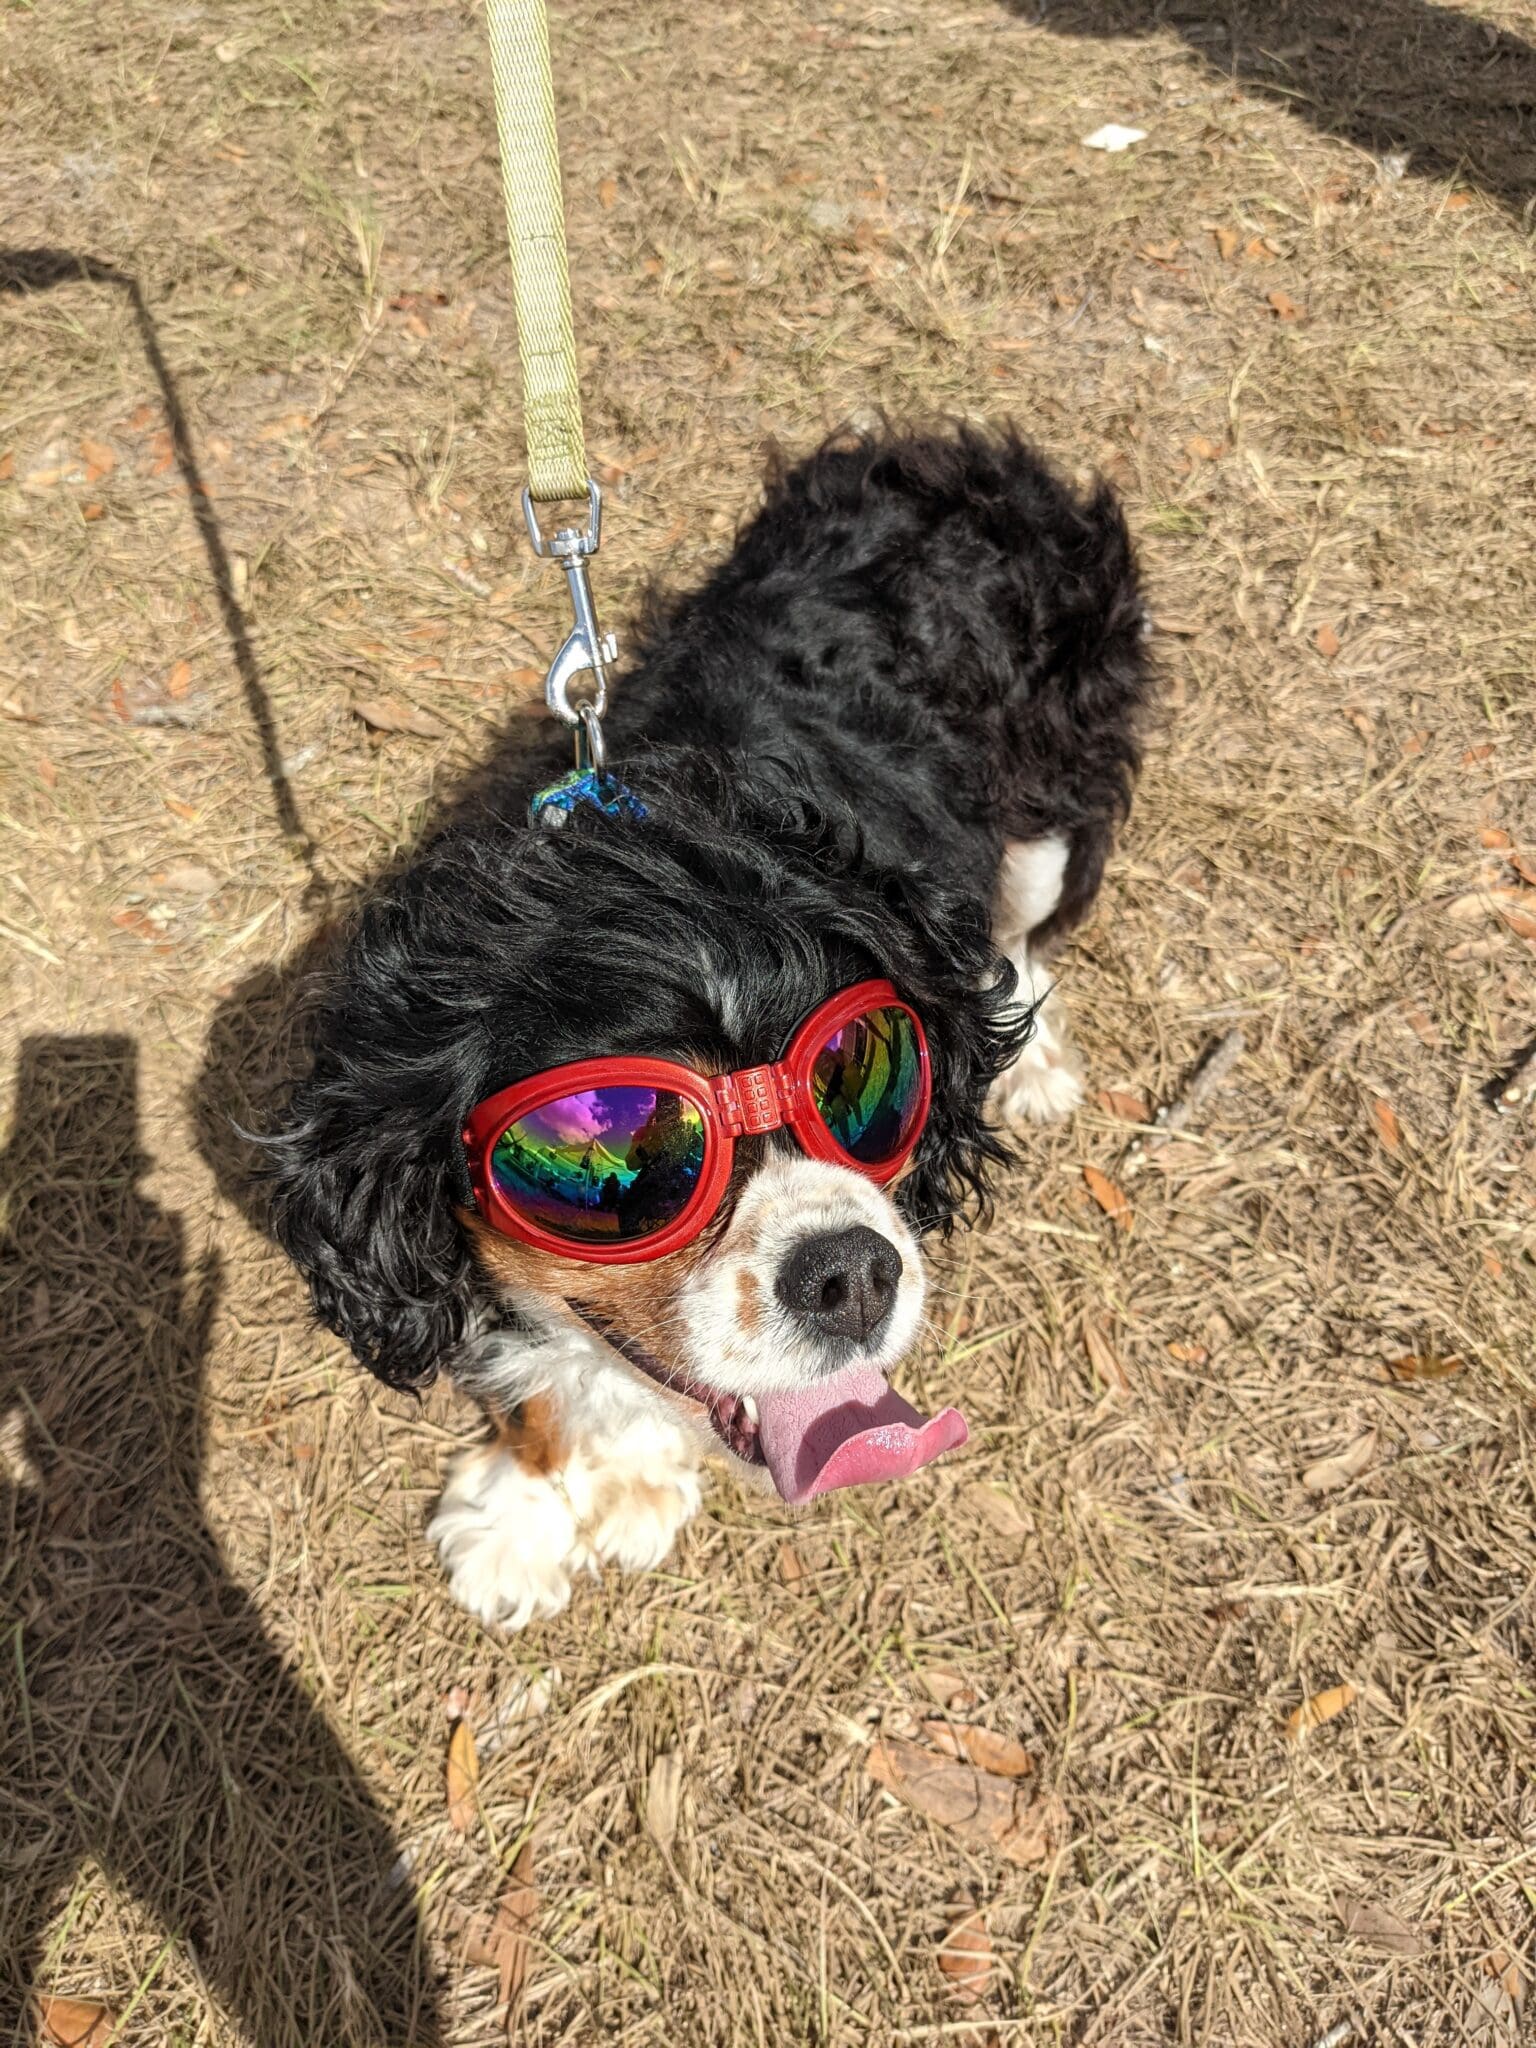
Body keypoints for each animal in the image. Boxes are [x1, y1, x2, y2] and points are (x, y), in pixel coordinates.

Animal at [268, 423, 1155, 1622]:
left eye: (863, 1082)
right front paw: (523, 1514)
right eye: (614, 1156)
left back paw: (1031, 1055)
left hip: (1058, 798)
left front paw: (632, 1478)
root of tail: (968, 458)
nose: (851, 1273)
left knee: (1024, 929)